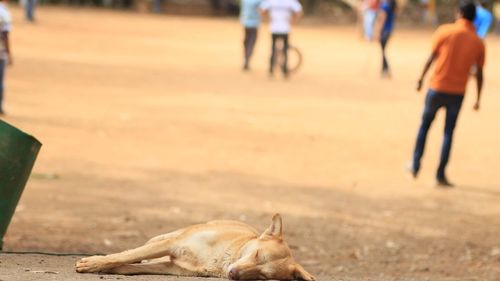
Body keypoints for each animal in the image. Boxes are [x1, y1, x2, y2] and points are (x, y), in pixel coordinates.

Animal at [76, 213, 314, 278]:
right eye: (256, 254)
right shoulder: (173, 244)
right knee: (140, 249)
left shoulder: (172, 267)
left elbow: (128, 266)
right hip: (167, 237)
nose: (234, 274)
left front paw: (108, 267)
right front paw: (95, 263)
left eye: (263, 276)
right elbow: (124, 256)